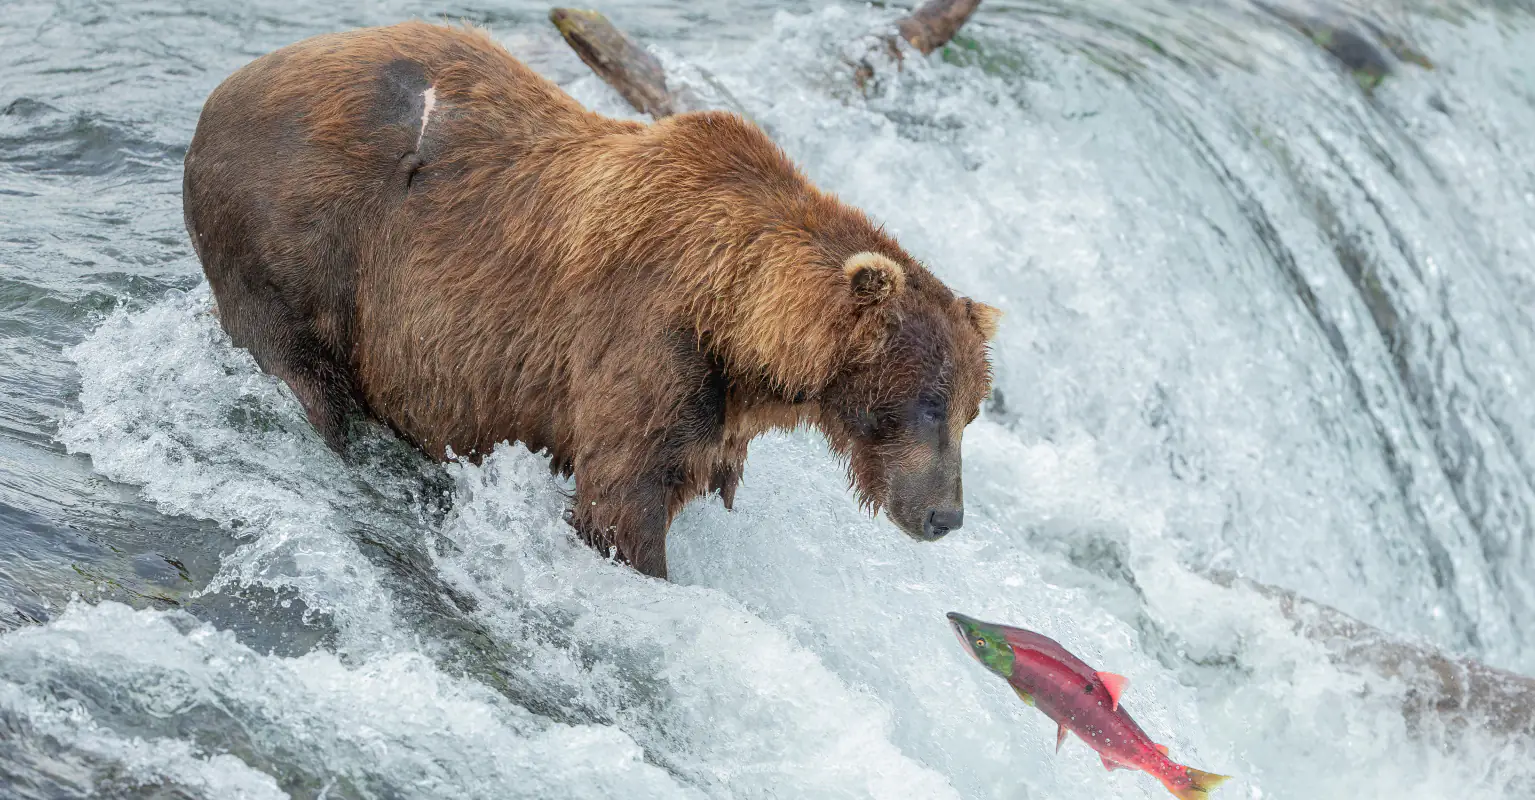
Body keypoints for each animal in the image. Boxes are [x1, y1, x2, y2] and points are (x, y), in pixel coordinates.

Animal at [182, 21, 1000, 579]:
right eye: (929, 404)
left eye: (968, 410)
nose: (945, 515)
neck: (738, 324)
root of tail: (224, 89)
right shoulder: (644, 340)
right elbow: (620, 503)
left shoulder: (715, 411)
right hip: (299, 241)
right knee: (301, 369)